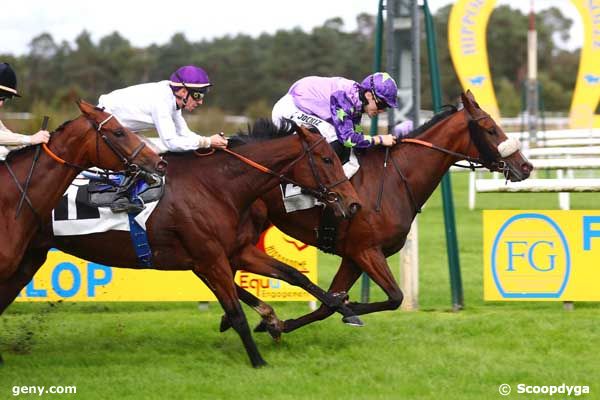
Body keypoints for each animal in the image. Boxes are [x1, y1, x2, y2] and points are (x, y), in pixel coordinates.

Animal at [10, 120, 360, 368]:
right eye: (327, 159)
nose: (353, 203)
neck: (216, 186)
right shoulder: (209, 259)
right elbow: (235, 312)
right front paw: (258, 360)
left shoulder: (235, 252)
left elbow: (295, 276)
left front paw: (344, 309)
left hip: (29, 257)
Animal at [220, 90, 536, 338]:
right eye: (491, 129)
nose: (526, 166)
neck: (396, 178)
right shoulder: (366, 251)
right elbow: (395, 297)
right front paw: (349, 308)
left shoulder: (353, 256)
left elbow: (328, 305)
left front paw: (283, 323)